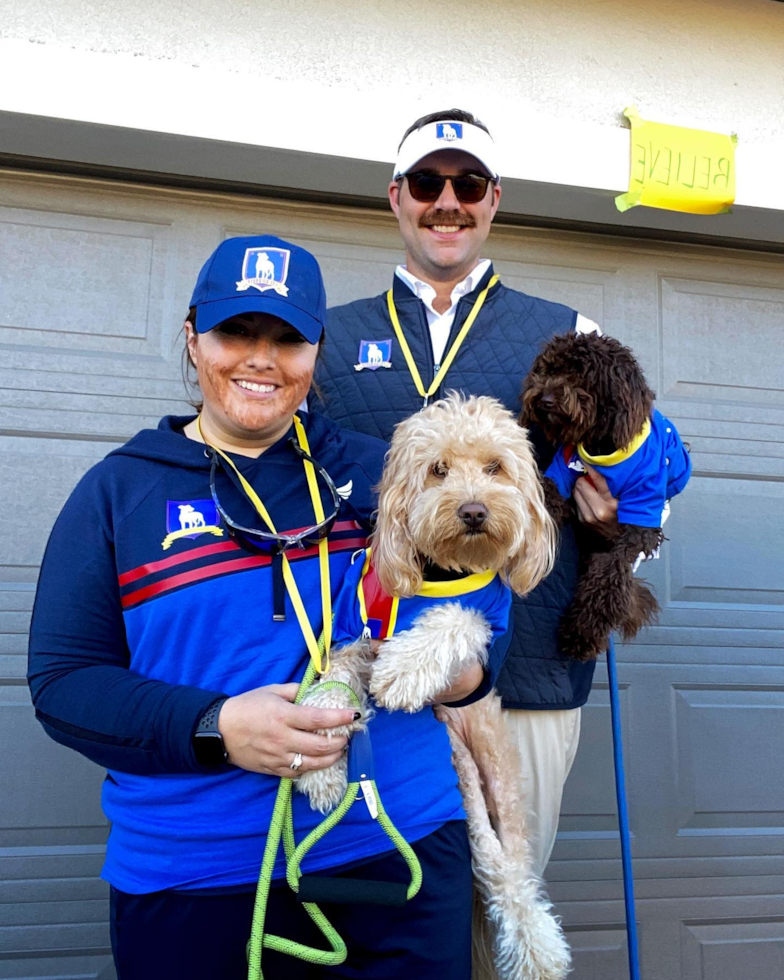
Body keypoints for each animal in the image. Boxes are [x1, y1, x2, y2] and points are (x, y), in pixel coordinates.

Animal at [298, 394, 568, 980]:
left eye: (494, 467)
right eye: (438, 469)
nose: (473, 511)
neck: (442, 571)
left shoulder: (484, 618)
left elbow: (452, 619)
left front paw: (403, 671)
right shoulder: (358, 632)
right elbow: (335, 679)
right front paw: (323, 762)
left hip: (501, 783)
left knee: (511, 874)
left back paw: (537, 951)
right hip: (463, 779)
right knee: (489, 857)